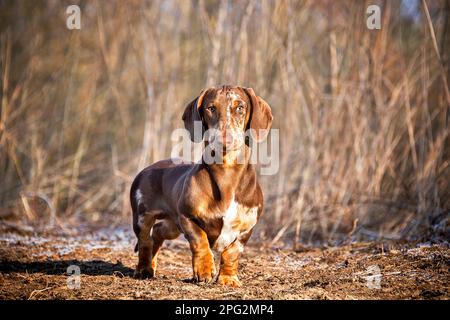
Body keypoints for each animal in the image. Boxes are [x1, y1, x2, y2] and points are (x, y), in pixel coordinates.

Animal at [128, 85, 272, 288]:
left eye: (240, 107)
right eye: (211, 108)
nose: (225, 139)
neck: (227, 173)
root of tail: (148, 168)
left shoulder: (247, 227)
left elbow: (232, 252)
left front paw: (228, 279)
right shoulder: (187, 217)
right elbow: (200, 241)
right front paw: (204, 271)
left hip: (172, 226)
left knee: (157, 233)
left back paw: (152, 265)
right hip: (143, 217)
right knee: (144, 241)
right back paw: (144, 269)